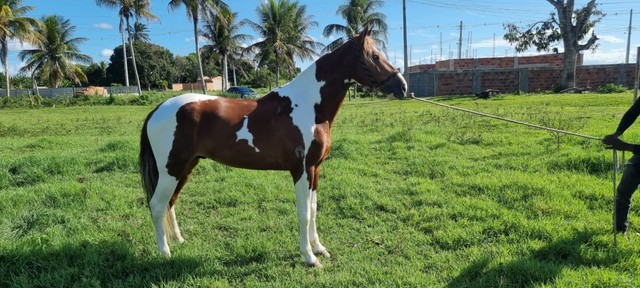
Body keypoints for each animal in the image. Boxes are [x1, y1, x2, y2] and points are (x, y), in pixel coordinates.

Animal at [141, 28, 408, 266]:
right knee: (157, 205)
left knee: (170, 202)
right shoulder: (301, 170)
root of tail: (157, 110)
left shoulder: (315, 169)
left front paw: (319, 249)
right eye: (375, 56)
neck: (309, 107)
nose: (402, 86)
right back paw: (165, 253)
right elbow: (304, 214)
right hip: (172, 169)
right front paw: (310, 258)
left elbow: (314, 210)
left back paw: (178, 240)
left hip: (186, 167)